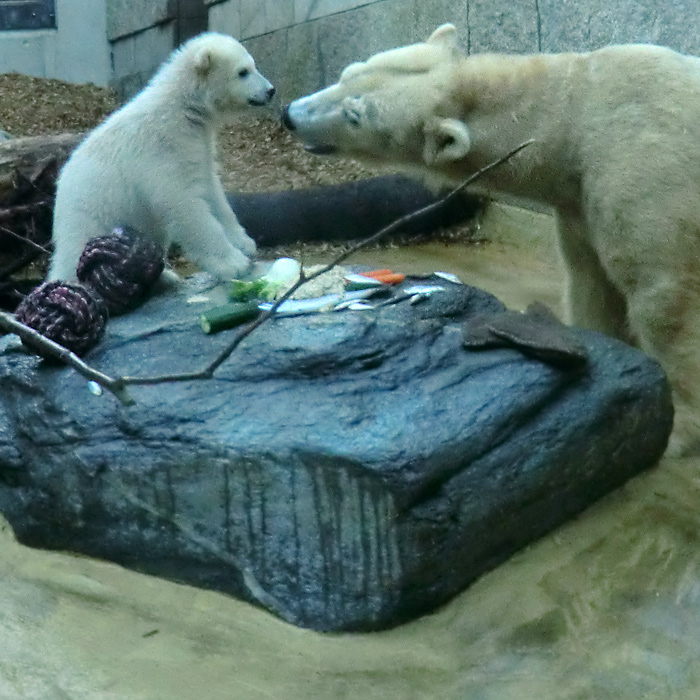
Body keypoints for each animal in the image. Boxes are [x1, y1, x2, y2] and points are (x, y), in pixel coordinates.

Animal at [48, 30, 274, 282]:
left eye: (253, 65)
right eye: (243, 72)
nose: (270, 90)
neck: (182, 108)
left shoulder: (199, 145)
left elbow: (211, 190)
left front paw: (244, 243)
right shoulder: (161, 149)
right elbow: (181, 200)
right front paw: (233, 263)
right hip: (92, 212)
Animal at [282, 23, 700, 454]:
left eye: (355, 115)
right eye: (348, 72)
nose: (289, 114)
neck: (574, 119)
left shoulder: (643, 165)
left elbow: (665, 298)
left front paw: (677, 430)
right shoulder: (578, 205)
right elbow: (592, 283)